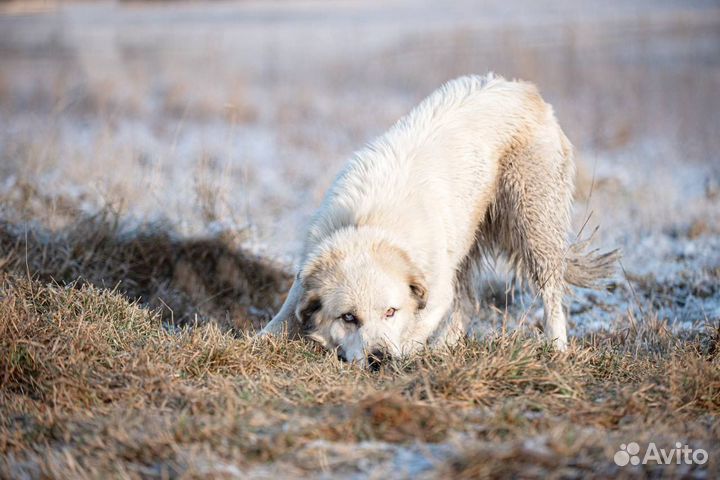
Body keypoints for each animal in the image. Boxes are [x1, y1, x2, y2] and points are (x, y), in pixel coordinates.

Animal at [262, 74, 616, 368]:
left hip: (533, 226)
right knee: (467, 303)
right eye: (349, 317)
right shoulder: (306, 275)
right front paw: (259, 343)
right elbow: (282, 319)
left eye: (390, 311)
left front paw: (406, 353)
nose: (379, 359)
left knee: (550, 293)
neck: (371, 225)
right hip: (467, 241)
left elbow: (414, 328)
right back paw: (445, 349)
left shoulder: (435, 290)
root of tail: (524, 89)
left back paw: (556, 347)